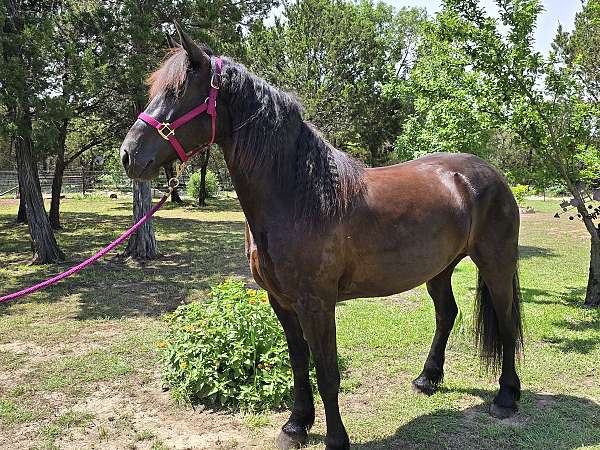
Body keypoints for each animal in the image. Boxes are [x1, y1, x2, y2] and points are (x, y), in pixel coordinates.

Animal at [119, 27, 524, 450]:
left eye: (178, 91)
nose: (128, 155)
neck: (301, 195)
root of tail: (490, 175)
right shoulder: (280, 300)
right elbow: (299, 362)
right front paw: (296, 425)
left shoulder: (317, 303)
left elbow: (327, 371)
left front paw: (335, 438)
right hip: (439, 269)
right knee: (447, 314)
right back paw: (427, 379)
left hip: (496, 264)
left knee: (507, 320)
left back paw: (506, 396)